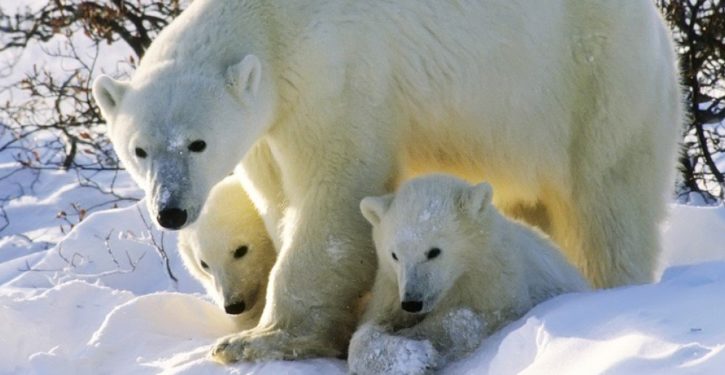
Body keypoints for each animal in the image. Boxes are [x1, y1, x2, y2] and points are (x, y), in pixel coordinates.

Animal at [348, 175, 592, 374]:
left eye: (434, 251)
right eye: (394, 255)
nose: (412, 302)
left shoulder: (498, 284)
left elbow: (469, 320)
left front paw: (419, 346)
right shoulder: (390, 289)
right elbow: (366, 330)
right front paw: (408, 356)